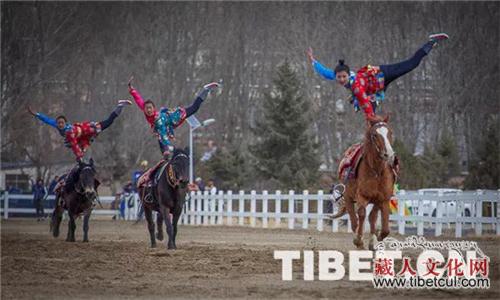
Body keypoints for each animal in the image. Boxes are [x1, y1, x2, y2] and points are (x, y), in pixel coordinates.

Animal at [330, 116, 396, 250]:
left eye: (390, 132)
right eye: (375, 135)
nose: (389, 154)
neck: (377, 172)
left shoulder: (383, 199)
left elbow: (384, 227)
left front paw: (376, 239)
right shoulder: (362, 196)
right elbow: (361, 215)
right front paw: (359, 241)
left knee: (371, 217)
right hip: (349, 197)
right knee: (354, 220)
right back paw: (358, 240)